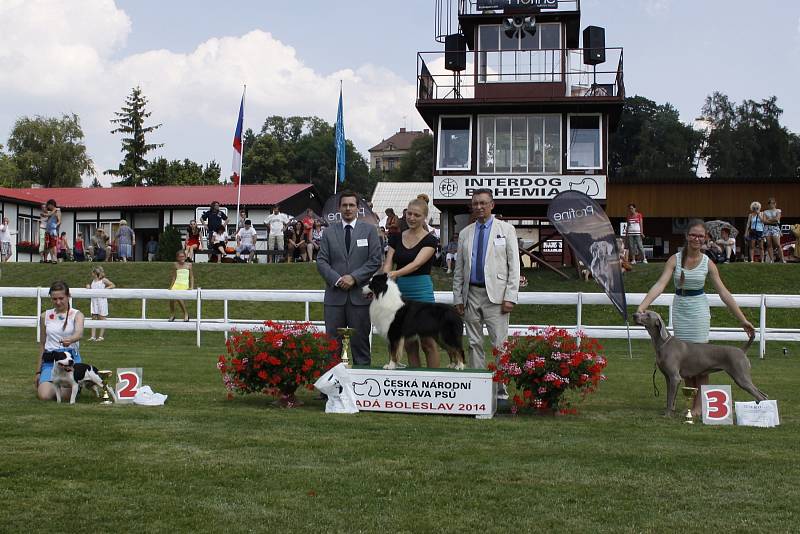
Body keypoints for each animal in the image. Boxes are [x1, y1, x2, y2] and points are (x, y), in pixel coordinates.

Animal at [632, 310, 768, 418]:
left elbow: (670, 399)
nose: (634, 315)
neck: (663, 344)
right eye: (642, 311)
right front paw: (670, 411)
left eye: (648, 314)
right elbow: (669, 398)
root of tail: (741, 350)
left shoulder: (675, 377)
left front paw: (667, 415)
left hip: (741, 377)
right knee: (763, 395)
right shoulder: (668, 378)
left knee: (760, 396)